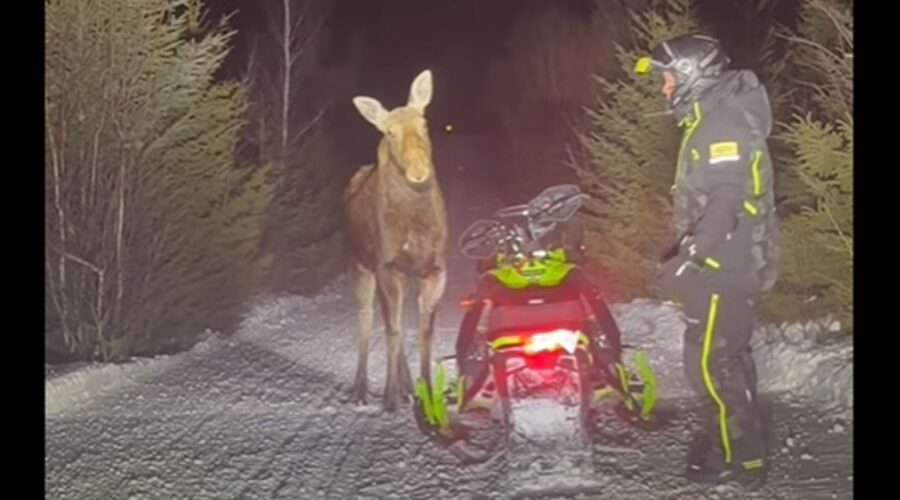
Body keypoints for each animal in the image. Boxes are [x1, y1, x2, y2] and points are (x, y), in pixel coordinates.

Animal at [343, 69, 448, 412]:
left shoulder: (435, 268)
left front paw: (427, 394)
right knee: (366, 319)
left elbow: (424, 333)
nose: (419, 171)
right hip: (360, 265)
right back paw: (361, 390)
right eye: (389, 133)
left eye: (425, 124)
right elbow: (391, 331)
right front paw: (388, 399)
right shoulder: (386, 265)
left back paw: (406, 387)